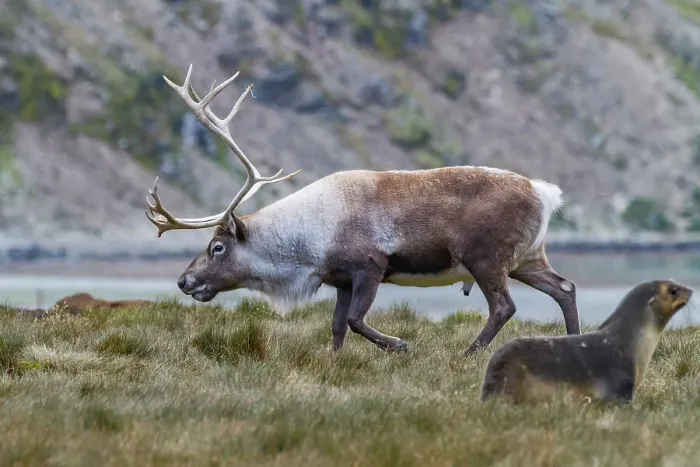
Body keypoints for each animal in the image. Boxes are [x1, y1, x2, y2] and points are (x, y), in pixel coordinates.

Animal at [144, 64, 581, 355]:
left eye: (217, 247)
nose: (183, 280)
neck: (307, 244)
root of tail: (545, 193)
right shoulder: (339, 279)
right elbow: (337, 326)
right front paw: (334, 361)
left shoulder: (370, 267)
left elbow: (355, 321)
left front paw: (399, 345)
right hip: (526, 257)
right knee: (565, 288)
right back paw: (576, 343)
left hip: (486, 258)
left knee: (505, 306)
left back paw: (470, 353)